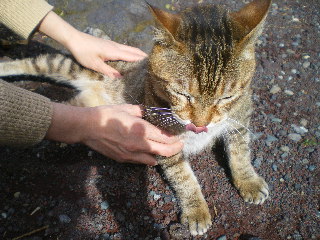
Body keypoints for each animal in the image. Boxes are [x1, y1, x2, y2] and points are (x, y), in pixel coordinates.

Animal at [0, 0, 270, 236]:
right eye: (183, 94)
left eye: (226, 97)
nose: (200, 124)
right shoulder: (164, 142)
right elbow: (183, 178)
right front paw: (196, 210)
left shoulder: (240, 120)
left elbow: (240, 154)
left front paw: (249, 181)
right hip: (67, 66)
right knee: (33, 62)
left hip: (78, 105)